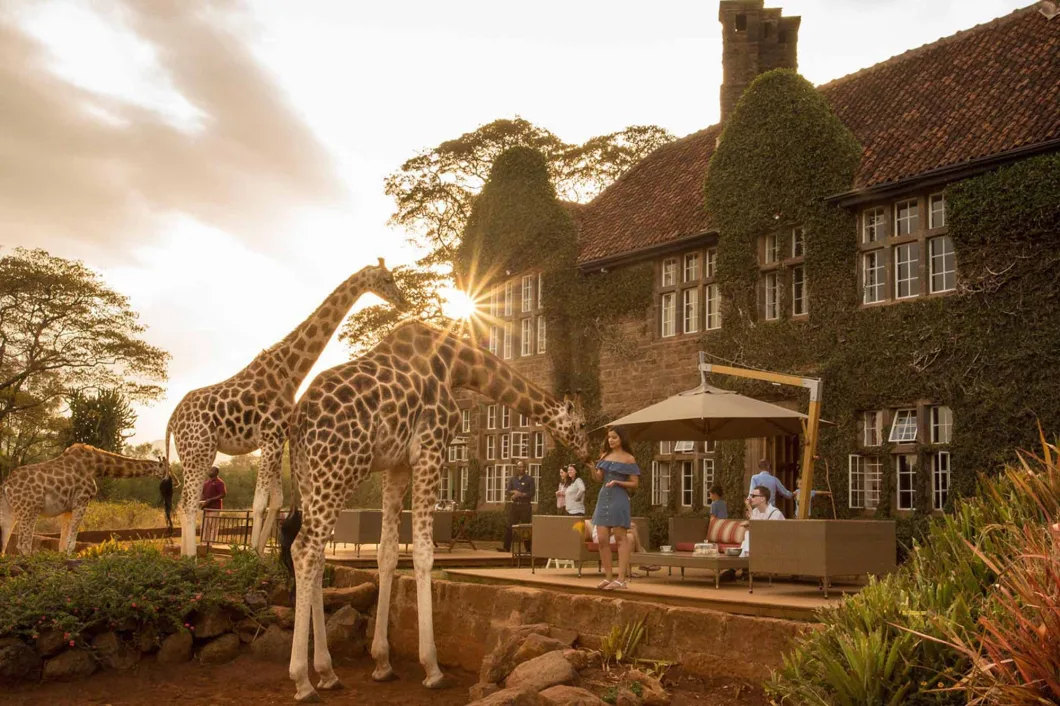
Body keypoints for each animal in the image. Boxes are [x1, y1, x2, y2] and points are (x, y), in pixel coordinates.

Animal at [0, 444, 173, 556]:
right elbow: (71, 542)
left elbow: (63, 542)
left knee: (4, 544)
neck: (98, 466)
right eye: (168, 469)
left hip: (10, 511)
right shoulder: (82, 501)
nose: (176, 481)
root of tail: (6, 486)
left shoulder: (68, 508)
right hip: (29, 510)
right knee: (23, 545)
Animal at [166, 259, 407, 557]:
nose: (403, 302)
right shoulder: (269, 436)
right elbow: (259, 502)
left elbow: (276, 500)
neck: (290, 373)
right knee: (188, 502)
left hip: (196, 451)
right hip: (199, 449)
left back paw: (186, 555)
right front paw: (249, 555)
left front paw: (260, 554)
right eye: (387, 279)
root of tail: (172, 419)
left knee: (184, 502)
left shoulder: (278, 438)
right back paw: (191, 557)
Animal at [279, 321, 593, 702]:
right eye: (580, 425)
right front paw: (432, 668)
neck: (457, 366)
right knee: (305, 550)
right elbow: (423, 554)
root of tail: (297, 421)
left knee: (317, 553)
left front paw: (382, 663)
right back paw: (302, 681)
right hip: (339, 470)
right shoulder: (430, 450)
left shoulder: (397, 464)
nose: (591, 456)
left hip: (310, 477)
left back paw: (327, 672)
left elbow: (387, 553)